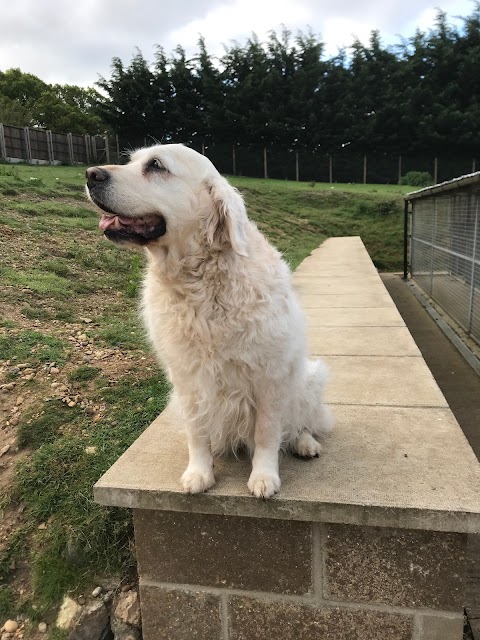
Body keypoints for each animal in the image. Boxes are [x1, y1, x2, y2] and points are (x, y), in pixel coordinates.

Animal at [86, 145, 332, 500]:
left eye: (156, 166)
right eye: (131, 160)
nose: (90, 174)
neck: (198, 283)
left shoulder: (270, 376)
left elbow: (268, 433)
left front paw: (264, 476)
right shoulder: (187, 377)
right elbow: (197, 431)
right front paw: (199, 472)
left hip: (309, 378)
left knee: (299, 423)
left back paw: (304, 443)